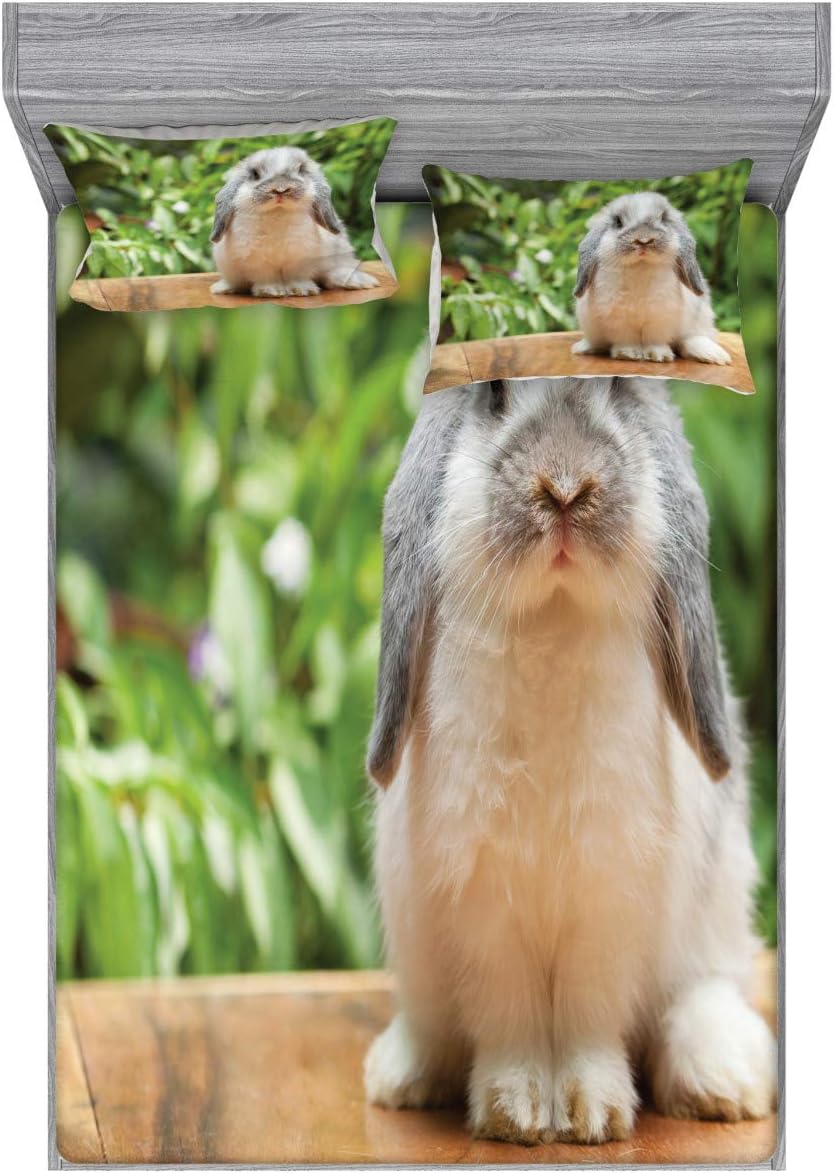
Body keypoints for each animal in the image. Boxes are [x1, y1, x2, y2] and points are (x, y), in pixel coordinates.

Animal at [209, 146, 378, 298]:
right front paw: (270, 291)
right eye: (255, 174)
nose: (280, 189)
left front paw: (302, 291)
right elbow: (266, 277)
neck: (278, 213)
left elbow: (297, 277)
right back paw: (224, 288)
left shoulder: (300, 258)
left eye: (301, 169)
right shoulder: (256, 260)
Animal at [363, 376, 775, 1145]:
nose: (563, 488)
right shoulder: (484, 900)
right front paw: (515, 1112)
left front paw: (593, 1113)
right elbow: (511, 1016)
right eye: (494, 395)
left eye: (615, 392)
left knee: (702, 990)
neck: (551, 619)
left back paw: (725, 1080)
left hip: (716, 910)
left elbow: (589, 1014)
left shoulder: (609, 893)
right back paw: (403, 1076)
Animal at [571, 193, 731, 366]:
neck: (641, 266)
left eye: (663, 218)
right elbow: (625, 338)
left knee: (687, 340)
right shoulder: (617, 318)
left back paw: (713, 354)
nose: (643, 240)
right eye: (618, 221)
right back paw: (583, 347)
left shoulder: (661, 318)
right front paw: (627, 354)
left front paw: (659, 356)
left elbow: (656, 339)